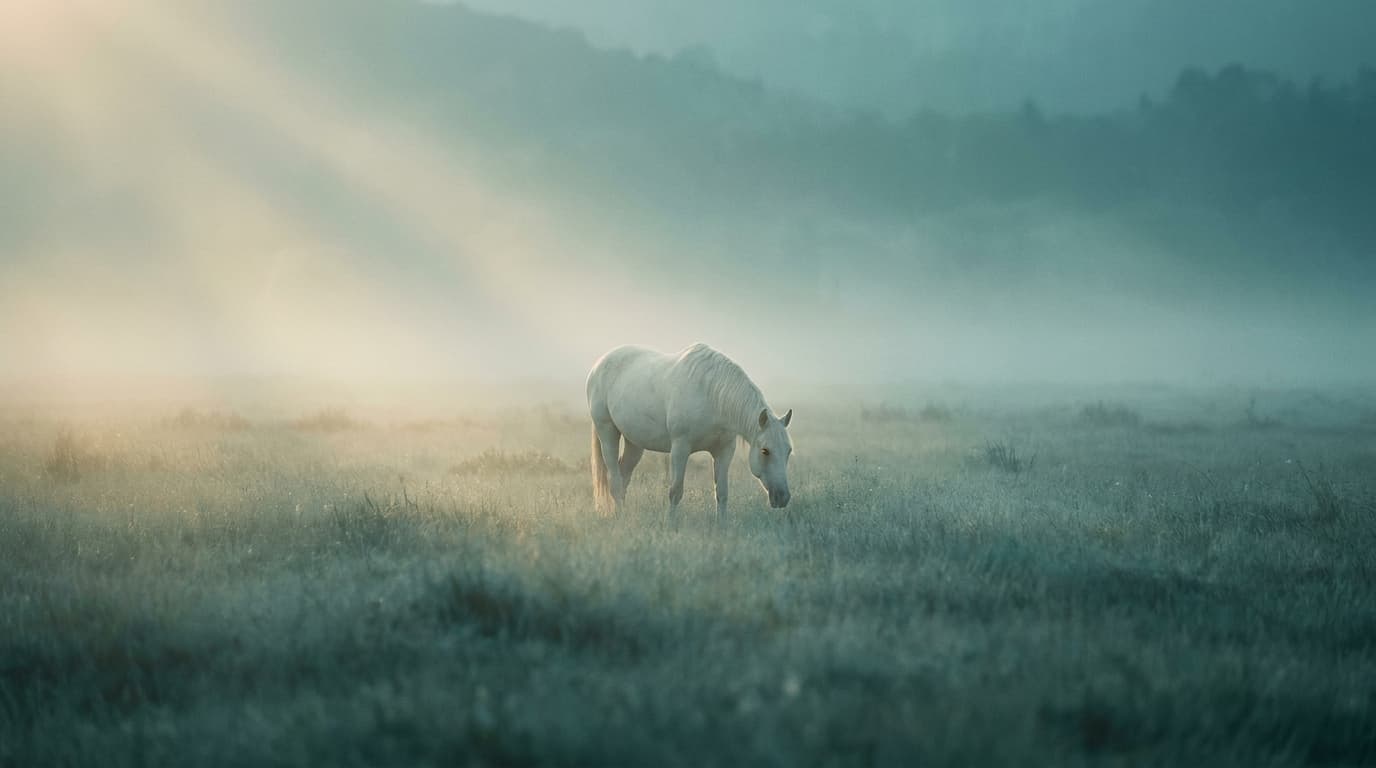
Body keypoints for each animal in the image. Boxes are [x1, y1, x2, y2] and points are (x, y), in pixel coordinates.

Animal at [586, 343, 793, 516]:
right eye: (765, 451)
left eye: (788, 451)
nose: (783, 498)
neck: (712, 395)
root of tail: (598, 366)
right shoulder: (680, 448)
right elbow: (675, 492)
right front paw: (671, 525)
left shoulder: (724, 451)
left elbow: (722, 493)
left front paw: (722, 527)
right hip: (607, 432)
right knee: (615, 481)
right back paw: (621, 518)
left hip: (634, 442)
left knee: (624, 476)